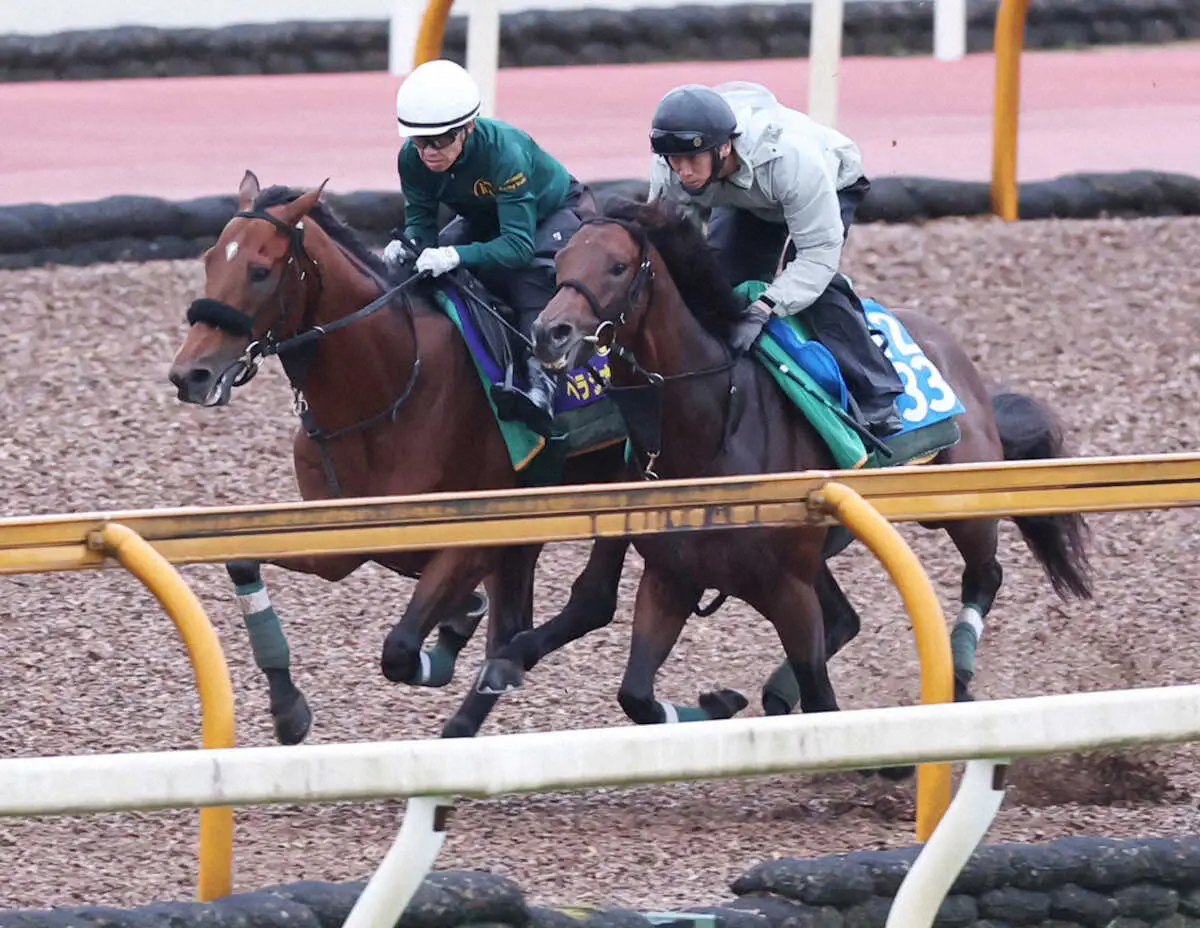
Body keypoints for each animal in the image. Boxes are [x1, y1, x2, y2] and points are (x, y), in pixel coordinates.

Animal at [170, 170, 748, 744]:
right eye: (210, 259)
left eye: (260, 270)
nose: (190, 374)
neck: (387, 386)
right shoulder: (344, 534)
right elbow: (245, 559)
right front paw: (289, 710)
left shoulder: (477, 530)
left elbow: (402, 649)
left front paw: (455, 627)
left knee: (589, 602)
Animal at [520, 195, 1094, 725]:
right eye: (562, 258)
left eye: (617, 266)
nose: (550, 333)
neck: (711, 432)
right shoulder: (671, 580)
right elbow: (636, 697)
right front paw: (719, 703)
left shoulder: (787, 590)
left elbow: (821, 701)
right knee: (848, 618)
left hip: (960, 498)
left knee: (984, 574)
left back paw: (958, 672)